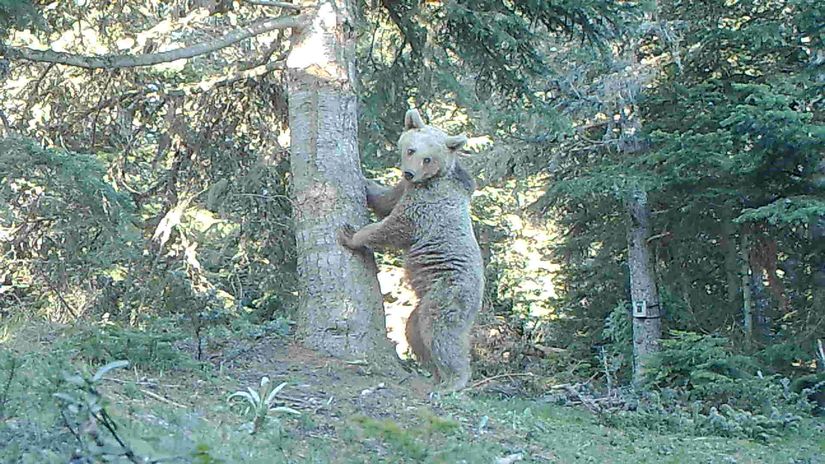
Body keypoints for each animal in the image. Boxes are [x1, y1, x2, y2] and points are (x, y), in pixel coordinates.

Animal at [340, 109, 486, 392]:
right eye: (411, 149)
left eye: (427, 158)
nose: (408, 173)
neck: (430, 180)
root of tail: (478, 303)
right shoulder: (405, 191)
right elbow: (385, 199)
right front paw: (365, 181)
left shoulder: (425, 206)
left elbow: (393, 228)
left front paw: (352, 236)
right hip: (425, 302)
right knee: (415, 331)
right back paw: (435, 373)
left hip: (449, 292)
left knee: (442, 332)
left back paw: (453, 380)